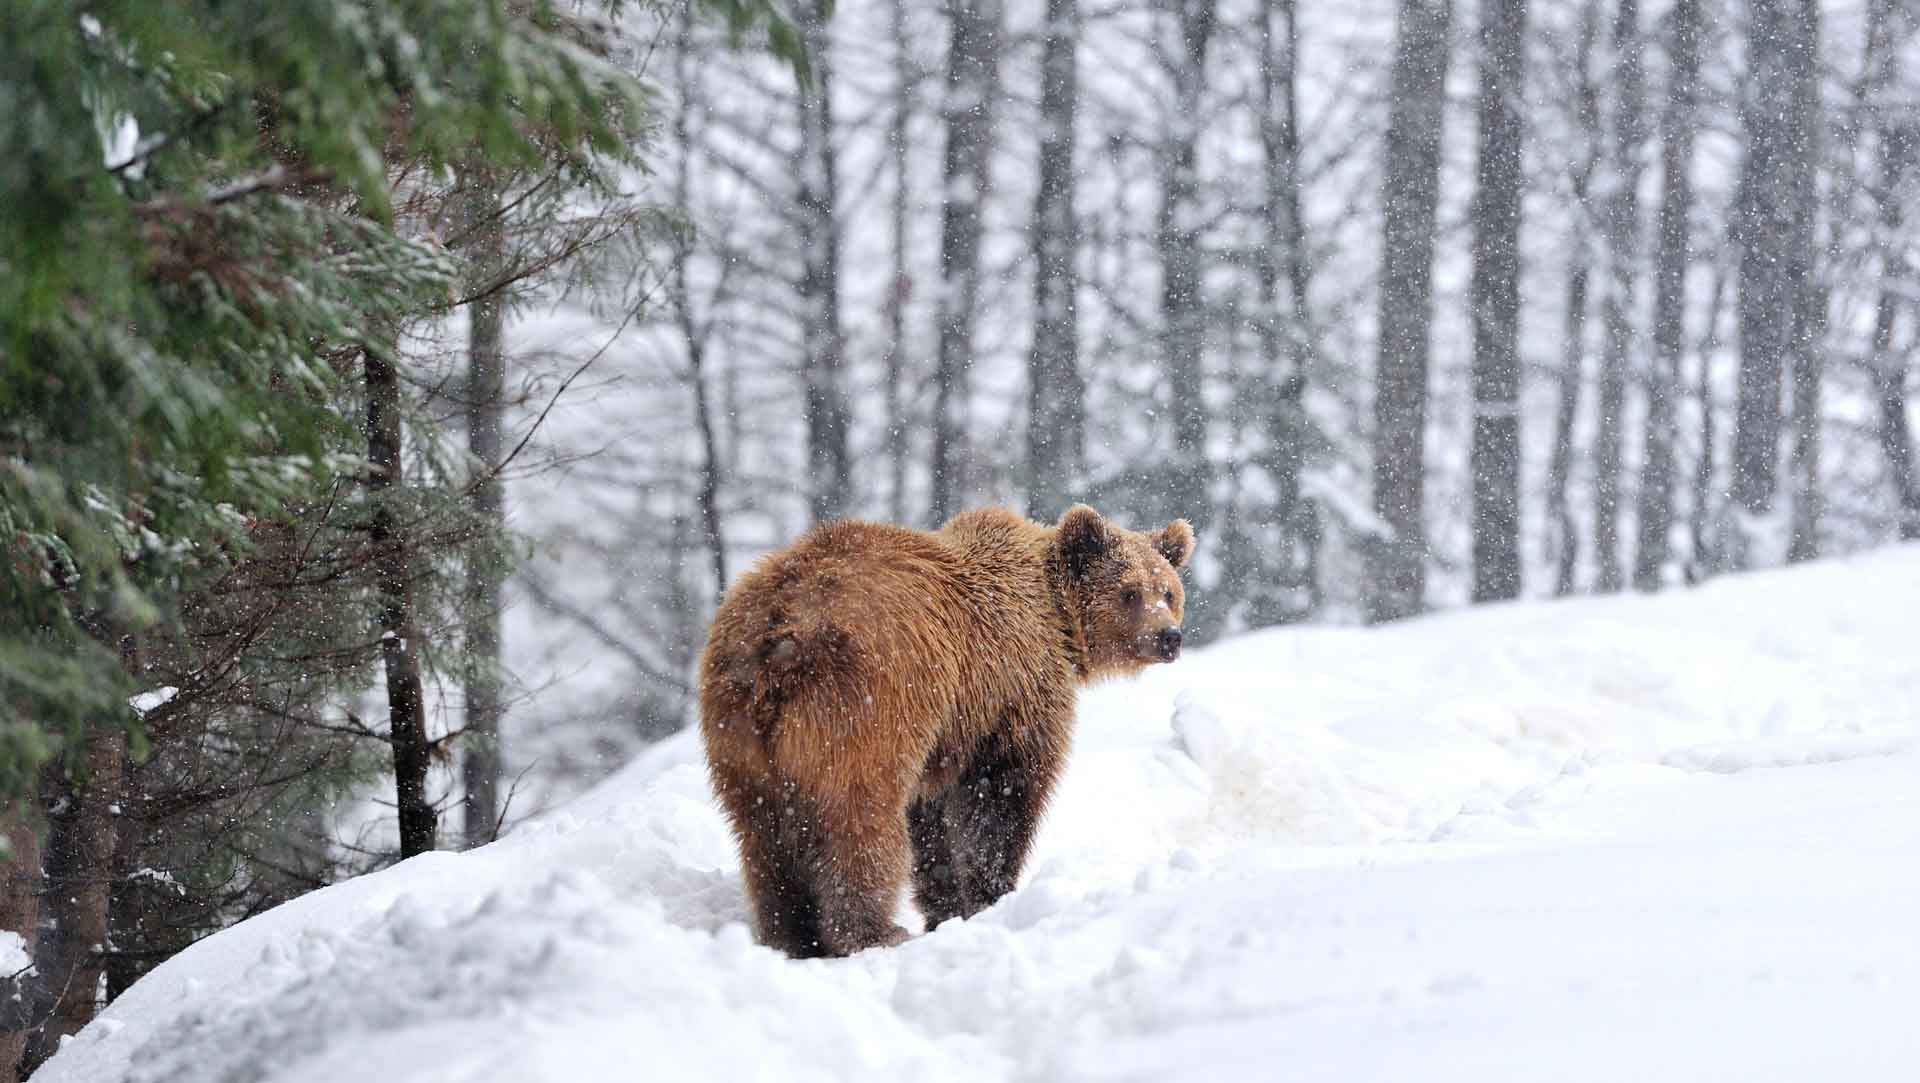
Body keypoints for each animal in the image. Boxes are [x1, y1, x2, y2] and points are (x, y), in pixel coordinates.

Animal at [698, 506, 1190, 956]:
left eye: (1168, 590)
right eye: (1130, 592)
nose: (1169, 637)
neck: (1057, 616)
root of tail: (778, 632)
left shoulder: (948, 731)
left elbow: (932, 822)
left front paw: (947, 908)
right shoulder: (1011, 691)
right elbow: (1003, 795)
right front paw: (991, 895)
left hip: (737, 730)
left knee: (762, 832)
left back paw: (791, 935)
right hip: (862, 704)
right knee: (861, 820)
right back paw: (873, 932)